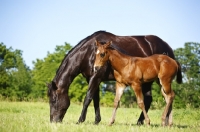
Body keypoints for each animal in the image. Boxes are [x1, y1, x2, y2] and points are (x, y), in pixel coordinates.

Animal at [47, 30, 180, 125]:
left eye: (53, 100)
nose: (53, 121)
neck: (88, 52)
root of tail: (168, 48)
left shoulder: (95, 77)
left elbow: (88, 98)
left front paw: (80, 120)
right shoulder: (93, 78)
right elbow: (96, 100)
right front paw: (97, 121)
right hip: (150, 81)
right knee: (154, 99)